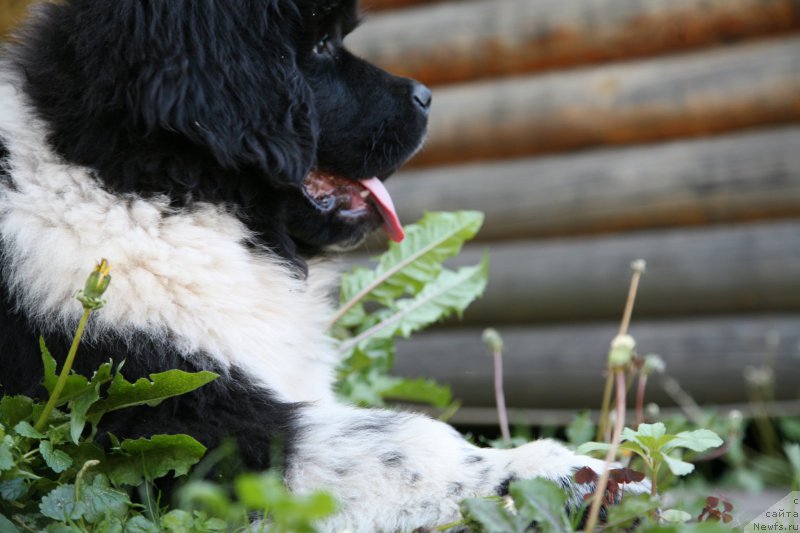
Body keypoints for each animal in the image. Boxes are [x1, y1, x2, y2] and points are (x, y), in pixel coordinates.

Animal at [0, 1, 632, 528]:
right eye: (322, 46)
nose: (427, 95)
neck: (152, 190)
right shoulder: (164, 410)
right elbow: (399, 441)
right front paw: (558, 470)